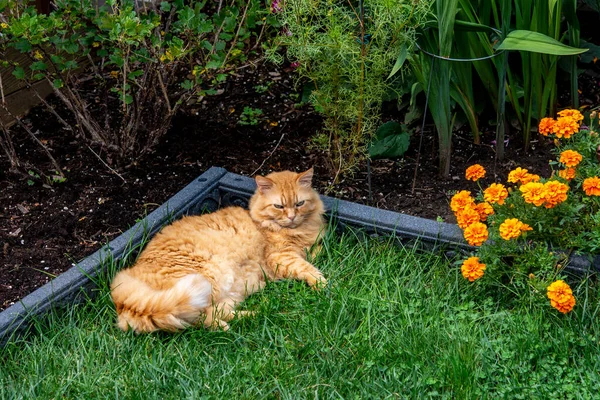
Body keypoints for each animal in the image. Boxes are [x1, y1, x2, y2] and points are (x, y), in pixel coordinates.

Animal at [110, 167, 326, 332]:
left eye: (299, 203)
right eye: (279, 206)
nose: (291, 217)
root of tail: (124, 302)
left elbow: (317, 252)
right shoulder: (280, 256)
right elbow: (307, 268)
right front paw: (323, 284)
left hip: (229, 294)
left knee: (216, 312)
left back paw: (257, 313)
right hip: (206, 279)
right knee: (197, 319)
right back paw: (233, 324)